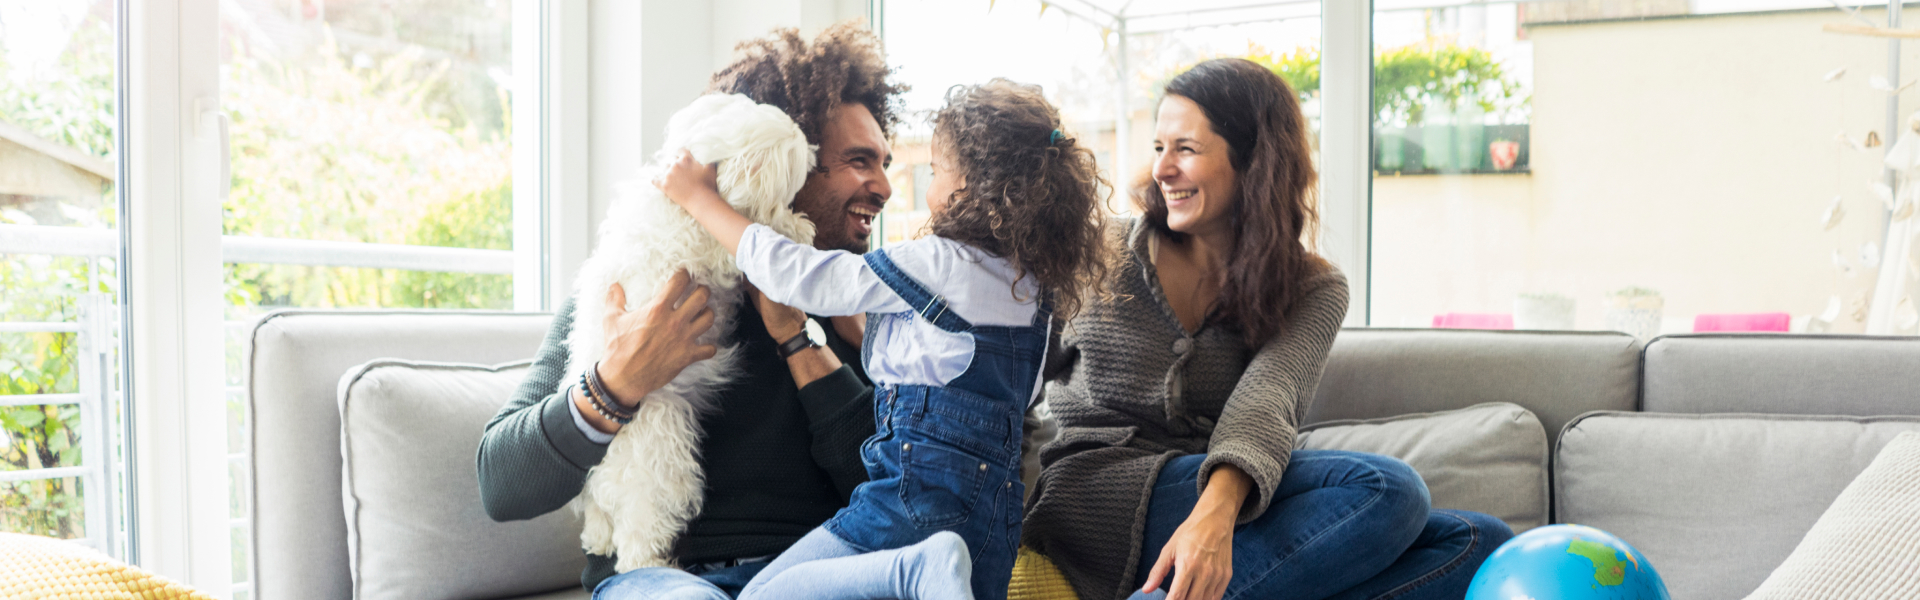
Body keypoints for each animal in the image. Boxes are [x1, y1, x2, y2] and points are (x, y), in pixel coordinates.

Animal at [560, 92, 817, 573]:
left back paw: (597, 538)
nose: (814, 154)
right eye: (793, 178)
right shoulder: (714, 246)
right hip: (664, 457)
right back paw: (650, 564)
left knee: (600, 520)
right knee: (638, 536)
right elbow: (751, 235)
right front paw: (795, 227)